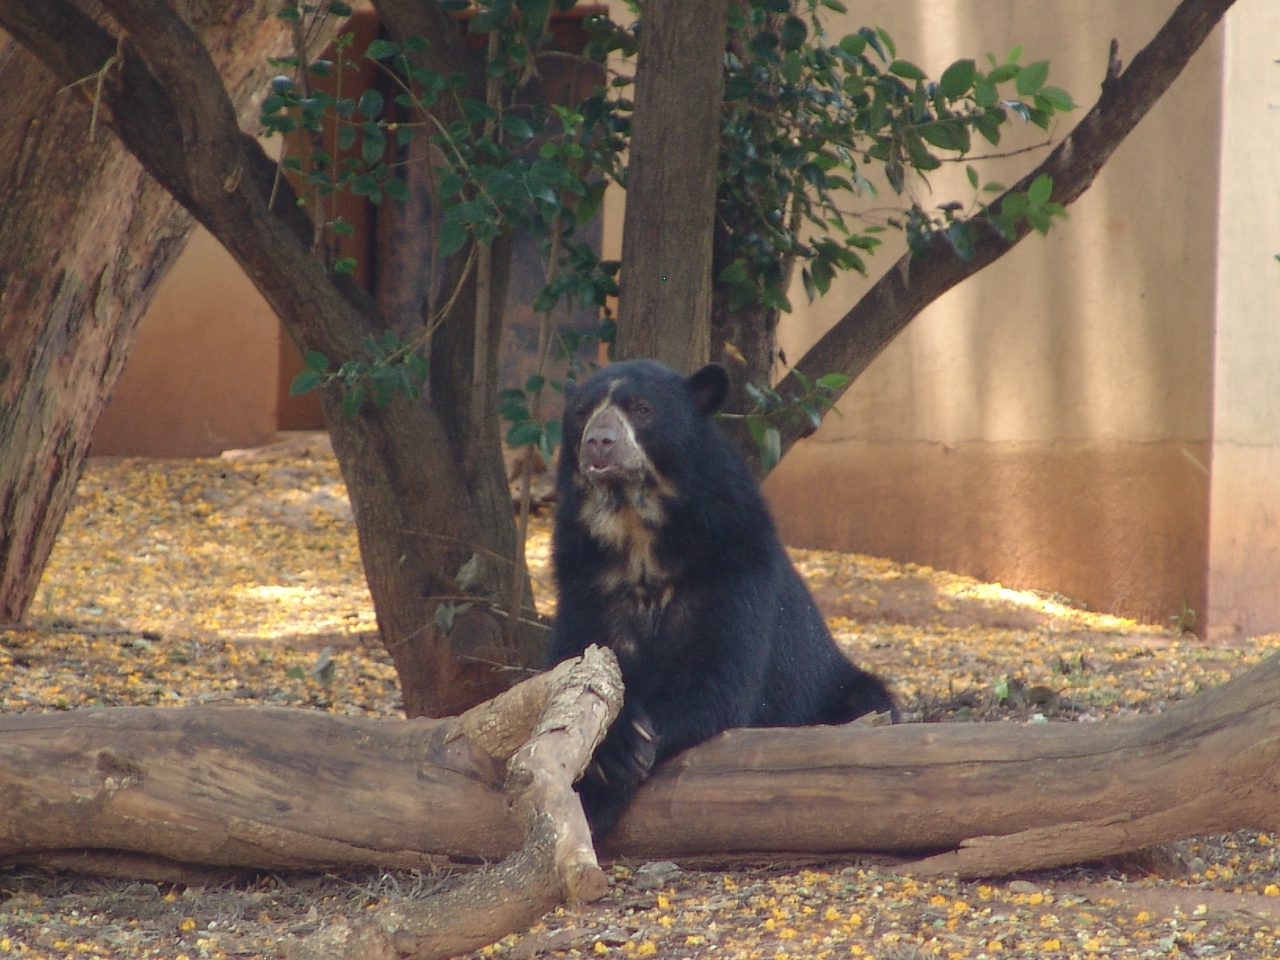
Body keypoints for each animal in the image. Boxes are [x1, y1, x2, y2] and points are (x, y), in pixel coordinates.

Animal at [547, 359, 896, 838]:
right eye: (582, 413)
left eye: (642, 410)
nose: (600, 441)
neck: (637, 531)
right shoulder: (585, 580)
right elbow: (579, 663)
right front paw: (612, 752)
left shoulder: (731, 565)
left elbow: (716, 678)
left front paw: (625, 755)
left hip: (834, 689)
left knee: (867, 702)